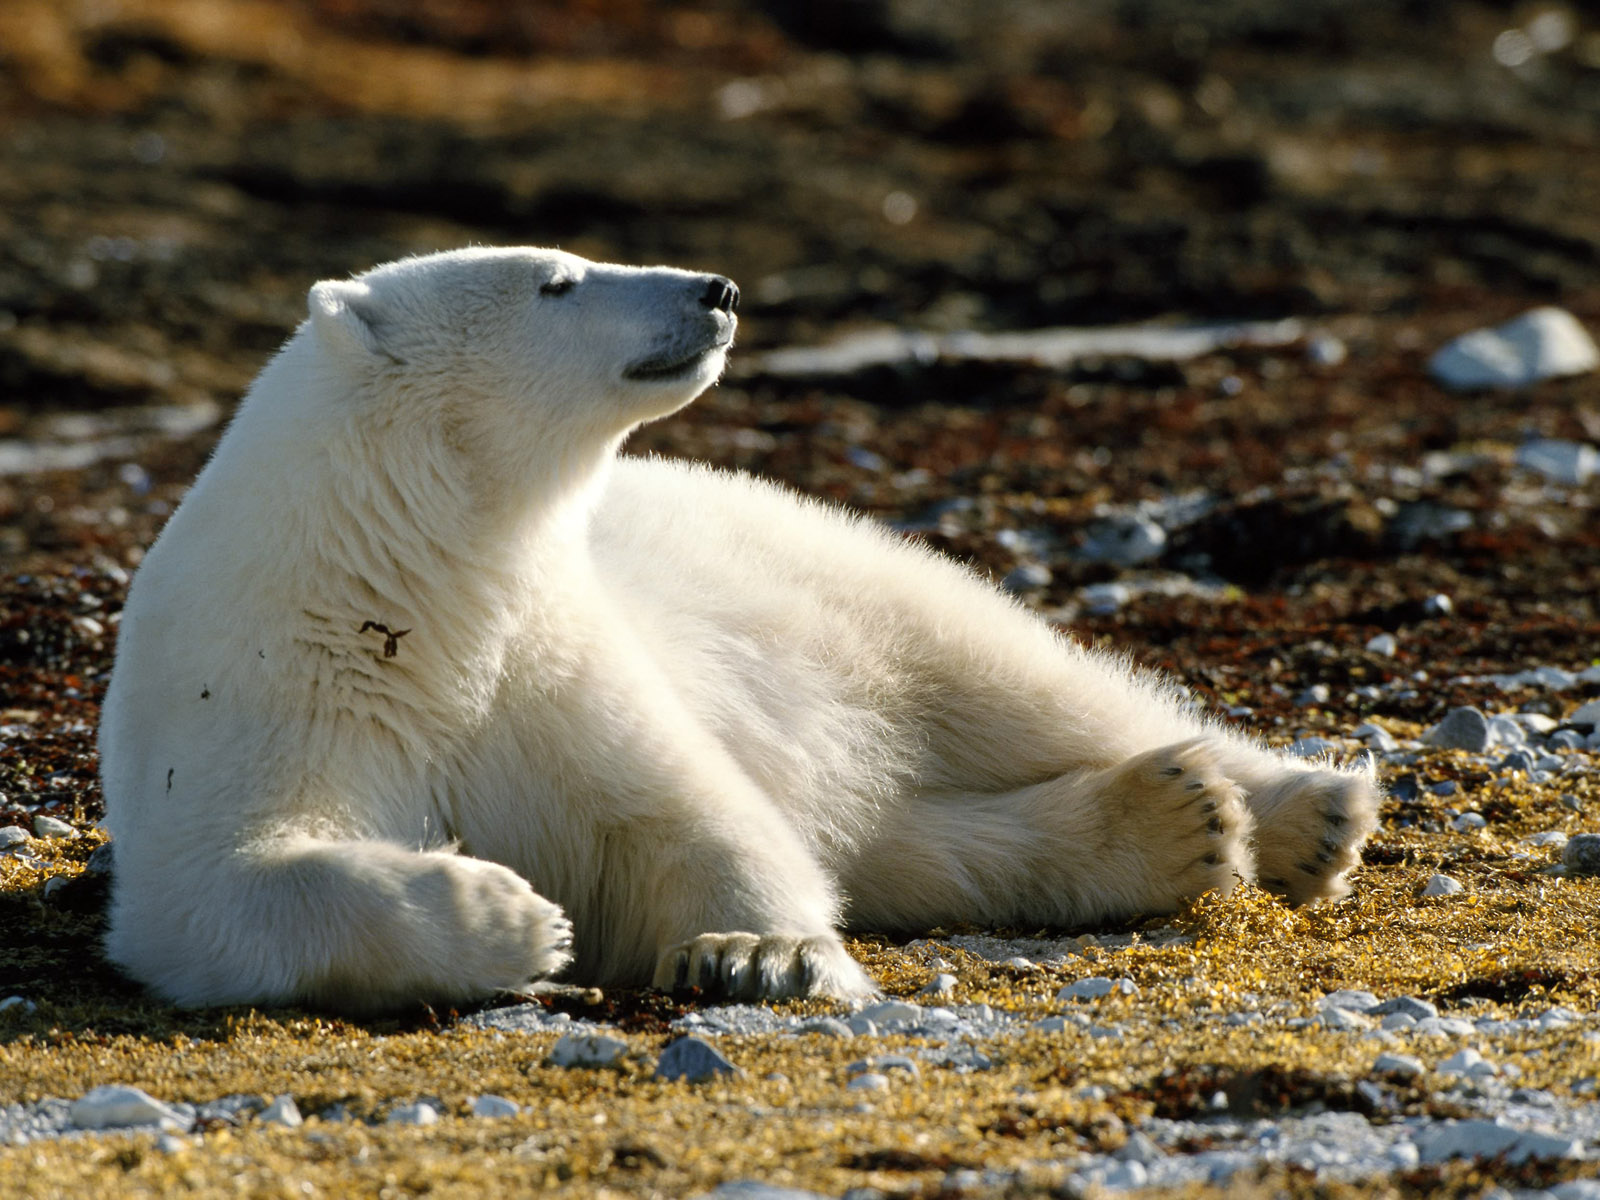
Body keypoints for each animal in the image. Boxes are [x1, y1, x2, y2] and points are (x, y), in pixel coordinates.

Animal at [99, 246, 1380, 1013]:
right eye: (557, 280)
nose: (714, 288)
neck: (411, 591)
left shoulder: (550, 663)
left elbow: (695, 815)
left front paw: (752, 954)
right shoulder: (266, 690)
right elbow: (223, 888)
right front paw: (514, 916)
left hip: (830, 575)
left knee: (1014, 682)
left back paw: (1300, 809)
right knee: (918, 839)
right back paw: (1172, 820)